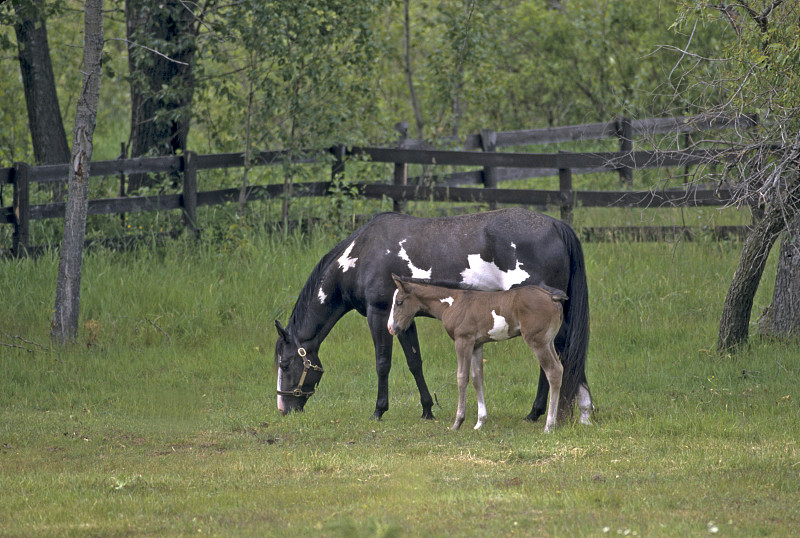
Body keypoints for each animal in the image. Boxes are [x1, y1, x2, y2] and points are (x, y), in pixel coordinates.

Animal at [276, 207, 592, 420]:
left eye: (284, 364)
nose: (283, 408)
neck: (362, 254)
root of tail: (556, 225)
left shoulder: (378, 314)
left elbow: (382, 364)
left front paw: (378, 410)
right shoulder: (403, 319)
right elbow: (414, 362)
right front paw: (427, 409)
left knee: (555, 357)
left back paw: (543, 412)